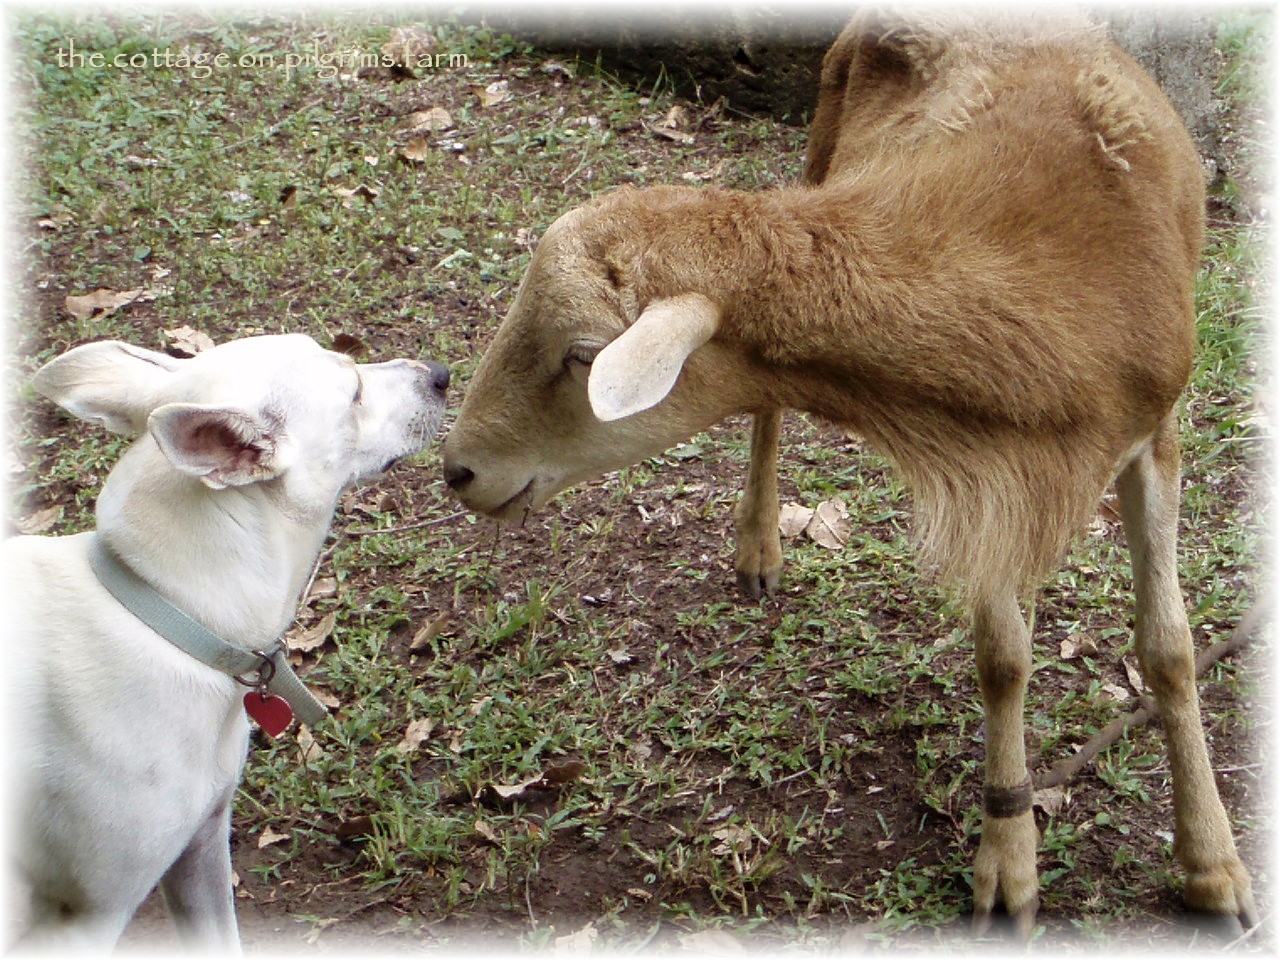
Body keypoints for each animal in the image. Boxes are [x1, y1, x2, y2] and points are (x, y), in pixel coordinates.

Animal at [441, 10, 1257, 935]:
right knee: (767, 407)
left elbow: (1170, 652)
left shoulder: (1127, 438)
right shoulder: (988, 471)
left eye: (581, 355)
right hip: (819, 144)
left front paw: (1214, 870)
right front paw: (1008, 864)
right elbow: (1005, 658)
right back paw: (758, 547)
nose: (458, 470)